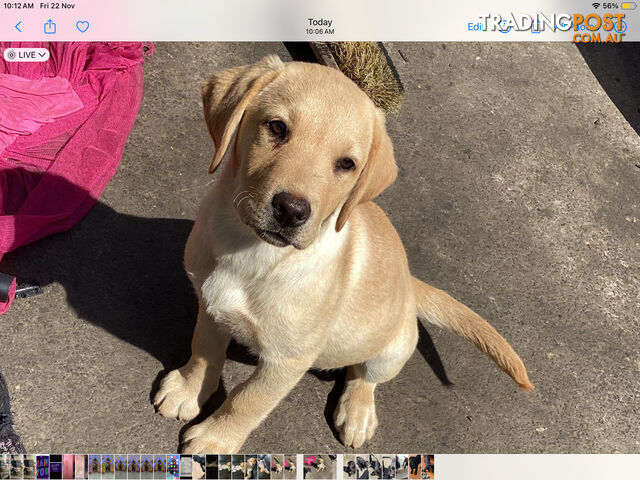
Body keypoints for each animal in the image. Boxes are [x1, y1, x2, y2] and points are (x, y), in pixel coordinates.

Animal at [152, 54, 532, 452]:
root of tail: (410, 283)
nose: (291, 210)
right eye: (276, 127)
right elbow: (204, 349)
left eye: (347, 164)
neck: (253, 252)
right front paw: (188, 390)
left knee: (365, 376)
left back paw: (357, 412)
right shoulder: (210, 305)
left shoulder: (288, 360)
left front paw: (216, 439)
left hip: (393, 349)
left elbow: (247, 401)